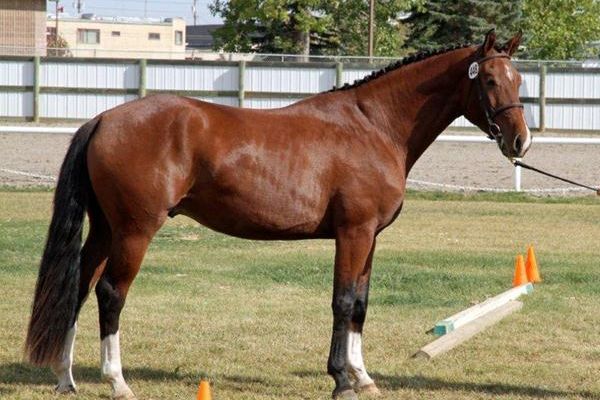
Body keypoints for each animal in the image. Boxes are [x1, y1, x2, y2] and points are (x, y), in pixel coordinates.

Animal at [25, 29, 528, 398]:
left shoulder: (371, 237)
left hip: (105, 230)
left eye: (520, 80)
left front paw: (364, 377)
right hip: (134, 231)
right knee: (110, 294)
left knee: (77, 289)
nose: (520, 141)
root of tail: (103, 120)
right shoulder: (353, 233)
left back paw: (66, 379)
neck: (374, 125)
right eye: (488, 80)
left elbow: (361, 305)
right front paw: (341, 380)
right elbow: (343, 301)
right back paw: (117, 381)